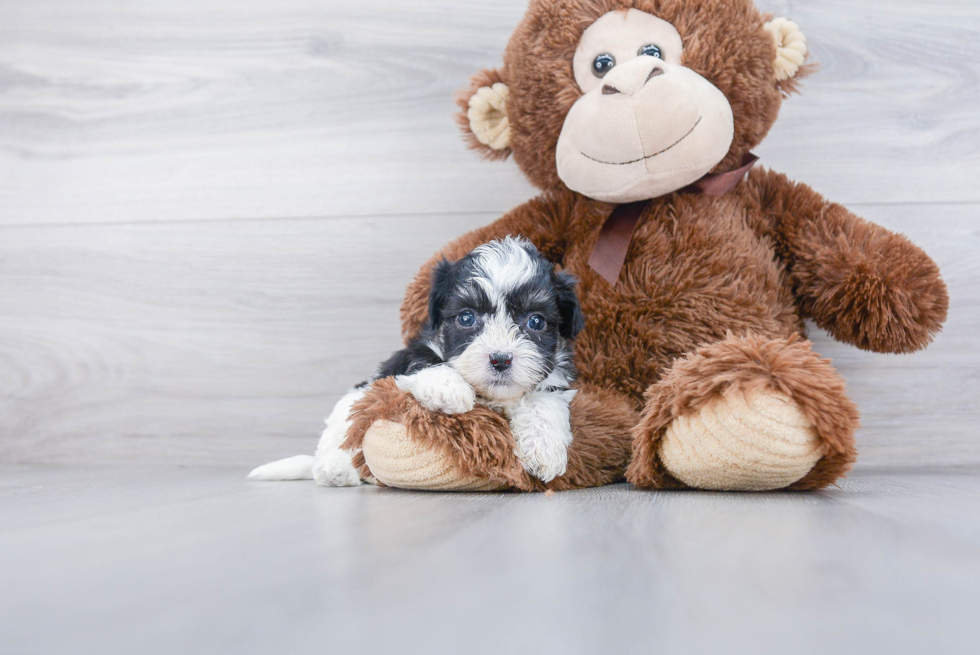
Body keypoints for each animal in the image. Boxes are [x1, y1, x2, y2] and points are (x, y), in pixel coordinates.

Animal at [249, 236, 580, 486]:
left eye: (536, 322)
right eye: (466, 317)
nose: (500, 359)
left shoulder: (553, 379)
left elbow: (544, 400)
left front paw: (543, 448)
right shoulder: (409, 355)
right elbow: (425, 361)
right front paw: (449, 388)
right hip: (349, 408)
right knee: (339, 442)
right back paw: (335, 468)